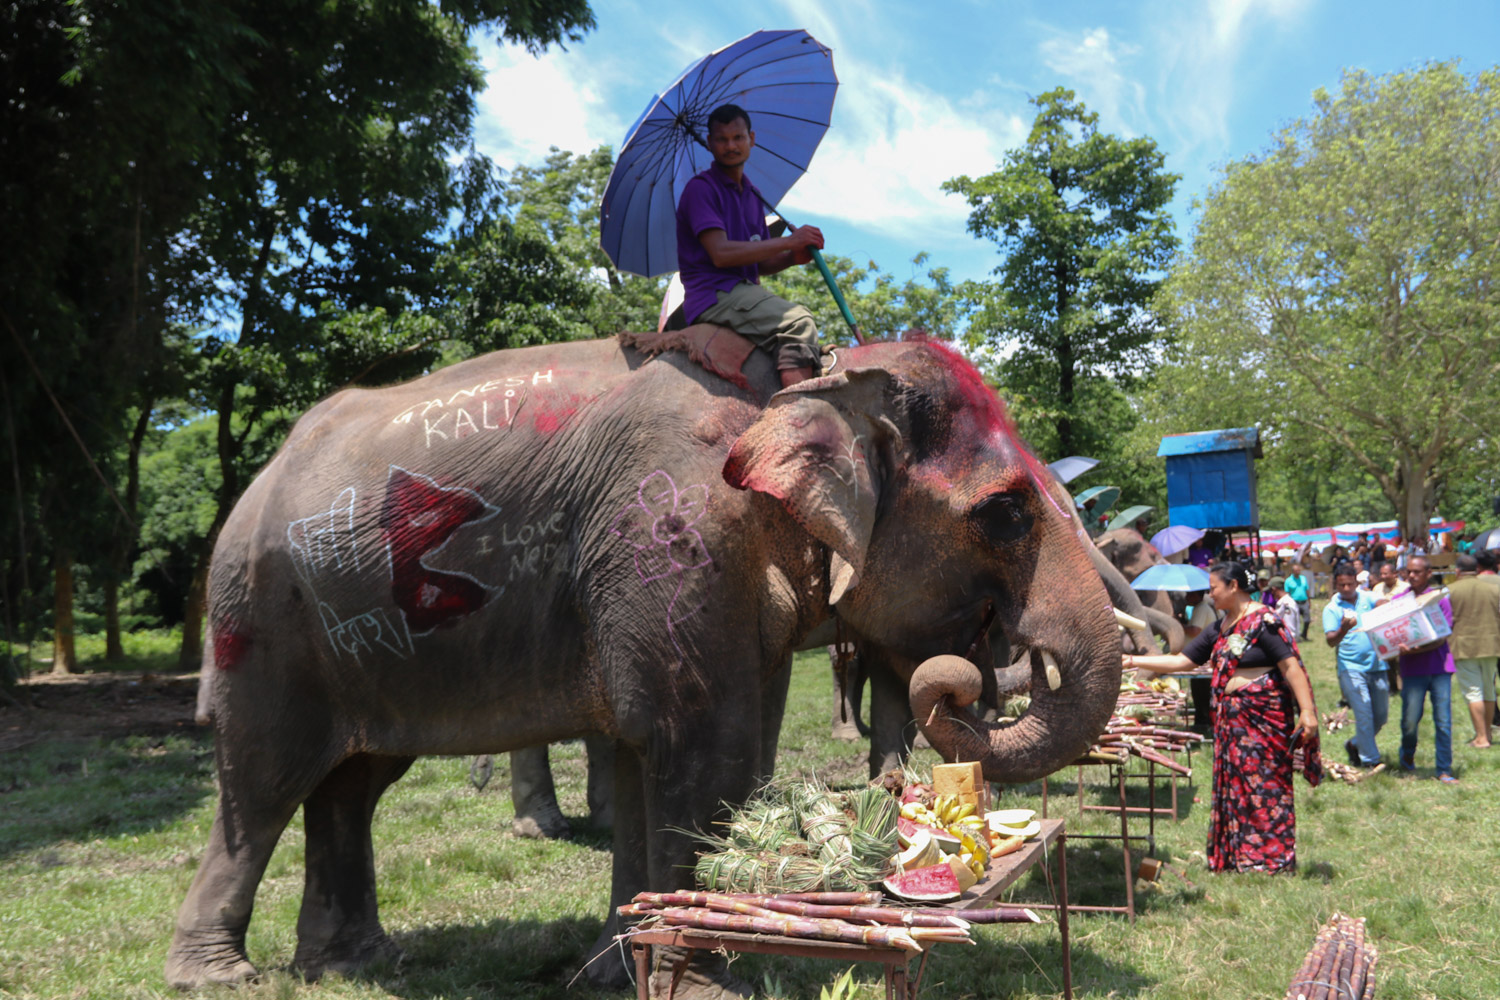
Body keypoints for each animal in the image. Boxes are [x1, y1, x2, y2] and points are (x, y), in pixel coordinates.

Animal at [165, 334, 1122, 997]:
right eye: (1005, 513)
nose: (970, 678)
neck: (812, 382)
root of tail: (254, 483)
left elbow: (638, 759)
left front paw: (616, 969)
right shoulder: (673, 539)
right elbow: (702, 748)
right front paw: (705, 985)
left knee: (352, 784)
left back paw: (355, 962)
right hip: (262, 624)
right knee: (265, 780)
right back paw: (219, 975)